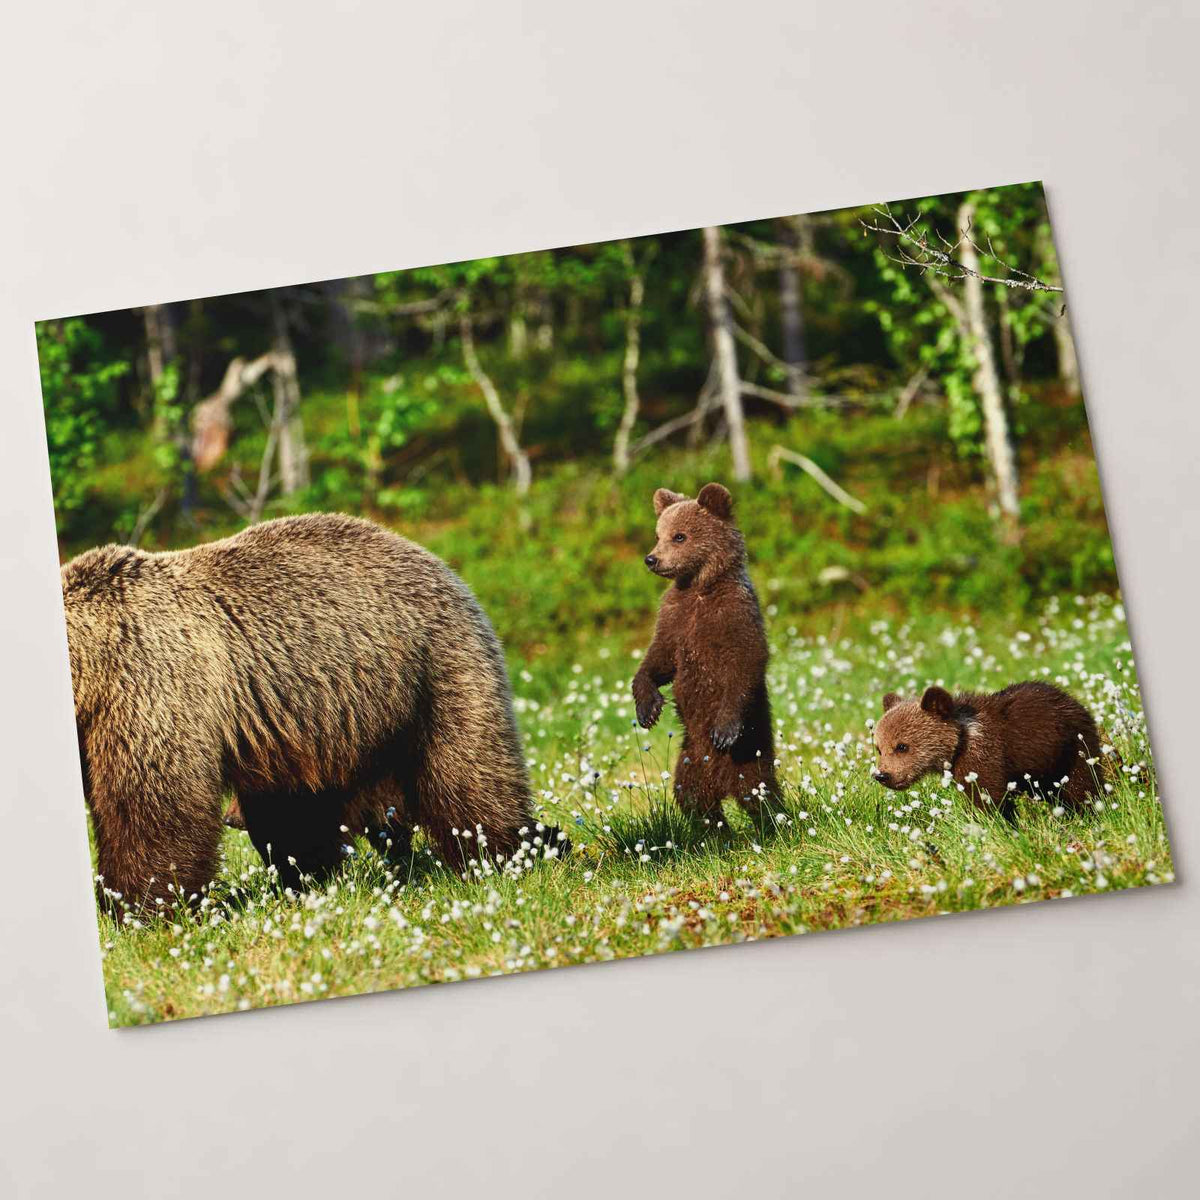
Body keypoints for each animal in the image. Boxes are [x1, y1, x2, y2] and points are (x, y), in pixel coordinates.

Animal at [60, 512, 555, 911]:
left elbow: (153, 806)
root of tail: (435, 560)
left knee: (467, 776)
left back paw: (514, 851)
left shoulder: (148, 683)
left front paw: (139, 908)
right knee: (297, 814)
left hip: (433, 668)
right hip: (316, 724)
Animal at [632, 482, 776, 824]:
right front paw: (648, 708)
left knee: (760, 795)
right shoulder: (675, 618)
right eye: (658, 533)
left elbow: (747, 660)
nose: (651, 559)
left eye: (679, 536)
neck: (700, 586)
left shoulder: (733, 614)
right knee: (693, 799)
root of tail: (722, 782)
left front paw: (724, 729)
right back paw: (716, 829)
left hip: (750, 754)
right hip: (689, 760)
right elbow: (658, 659)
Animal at [871, 681, 1105, 812]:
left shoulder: (984, 758)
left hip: (1073, 748)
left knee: (1082, 785)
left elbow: (987, 797)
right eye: (879, 748)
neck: (961, 742)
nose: (882, 775)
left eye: (902, 746)